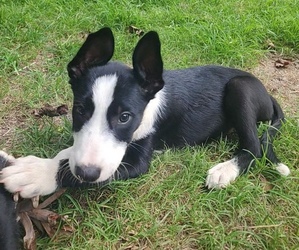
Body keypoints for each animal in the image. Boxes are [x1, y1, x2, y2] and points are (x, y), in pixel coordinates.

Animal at [0, 27, 290, 199]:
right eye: (80, 110)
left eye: (125, 117)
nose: (87, 171)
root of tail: (267, 94)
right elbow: (69, 153)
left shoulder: (138, 161)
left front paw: (39, 174)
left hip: (240, 88)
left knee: (254, 146)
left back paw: (225, 171)